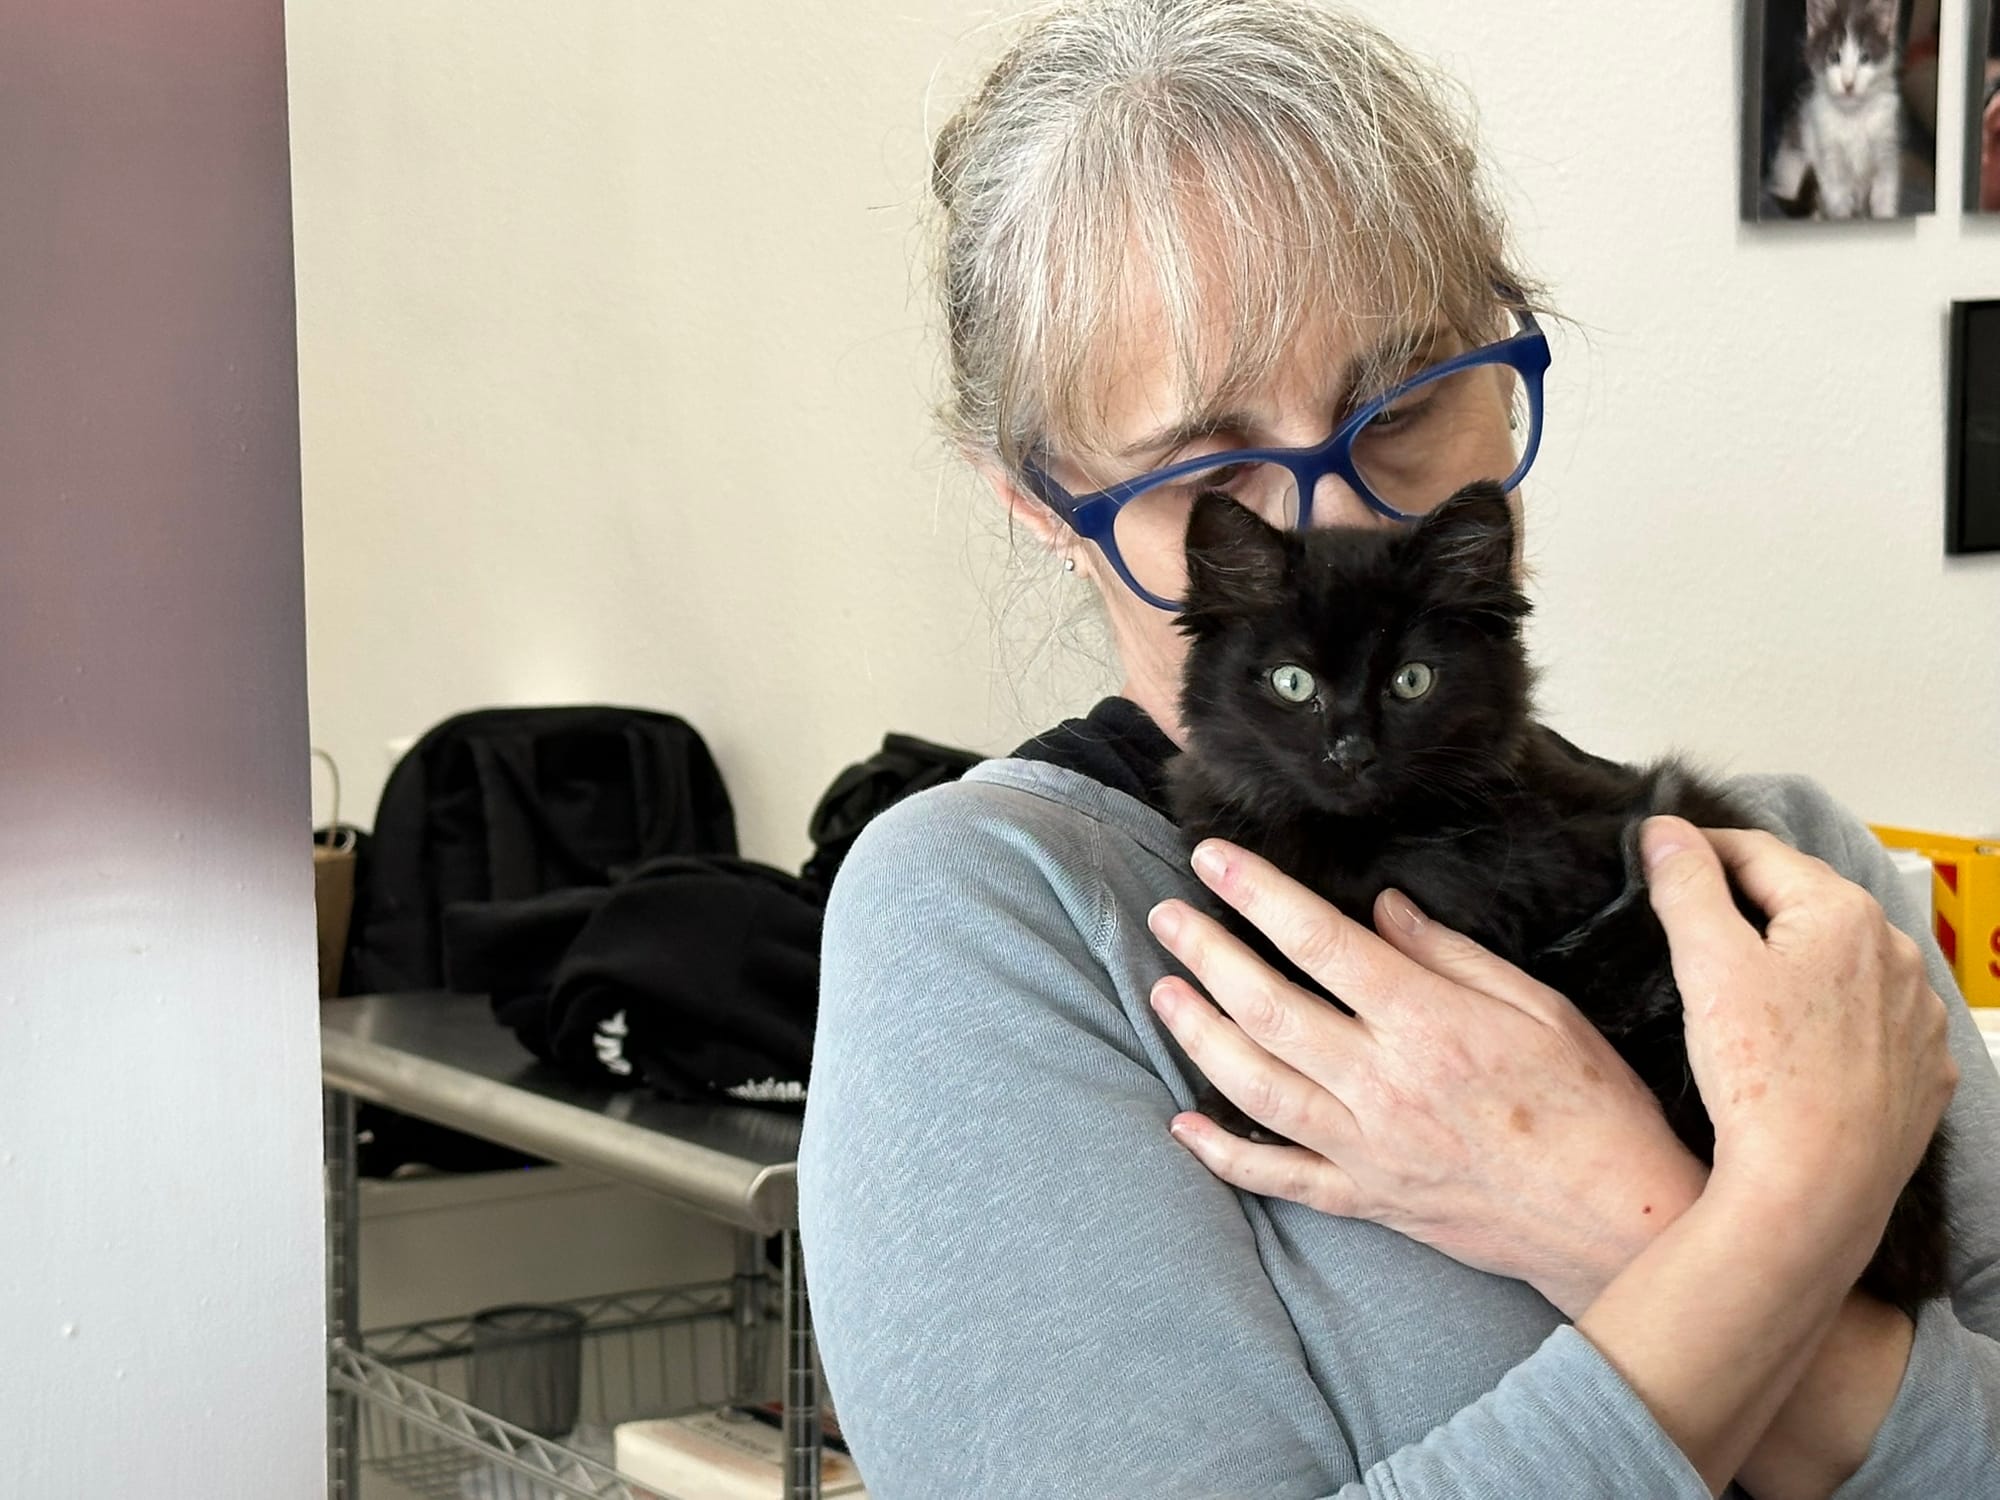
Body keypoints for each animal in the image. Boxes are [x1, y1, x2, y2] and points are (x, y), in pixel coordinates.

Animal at [1776, 0, 1896, 220]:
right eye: (1834, 57)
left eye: (1865, 57)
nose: (1848, 84)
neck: (1853, 115)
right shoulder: (1829, 158)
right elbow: (1839, 202)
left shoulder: (1886, 149)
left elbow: (1885, 194)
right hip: (1791, 168)